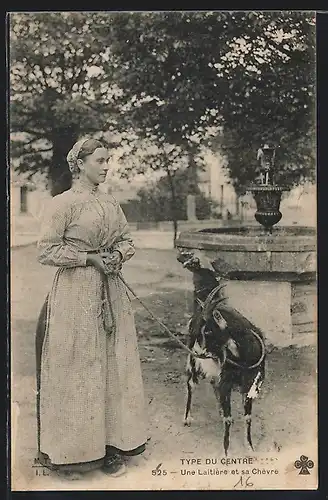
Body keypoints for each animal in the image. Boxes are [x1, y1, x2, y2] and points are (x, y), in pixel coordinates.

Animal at [177, 250, 266, 458]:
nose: (198, 351)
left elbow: (247, 417)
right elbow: (229, 418)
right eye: (200, 331)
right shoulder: (225, 383)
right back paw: (187, 418)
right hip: (194, 367)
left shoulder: (248, 383)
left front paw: (250, 448)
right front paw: (226, 453)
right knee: (191, 385)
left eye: (209, 331)